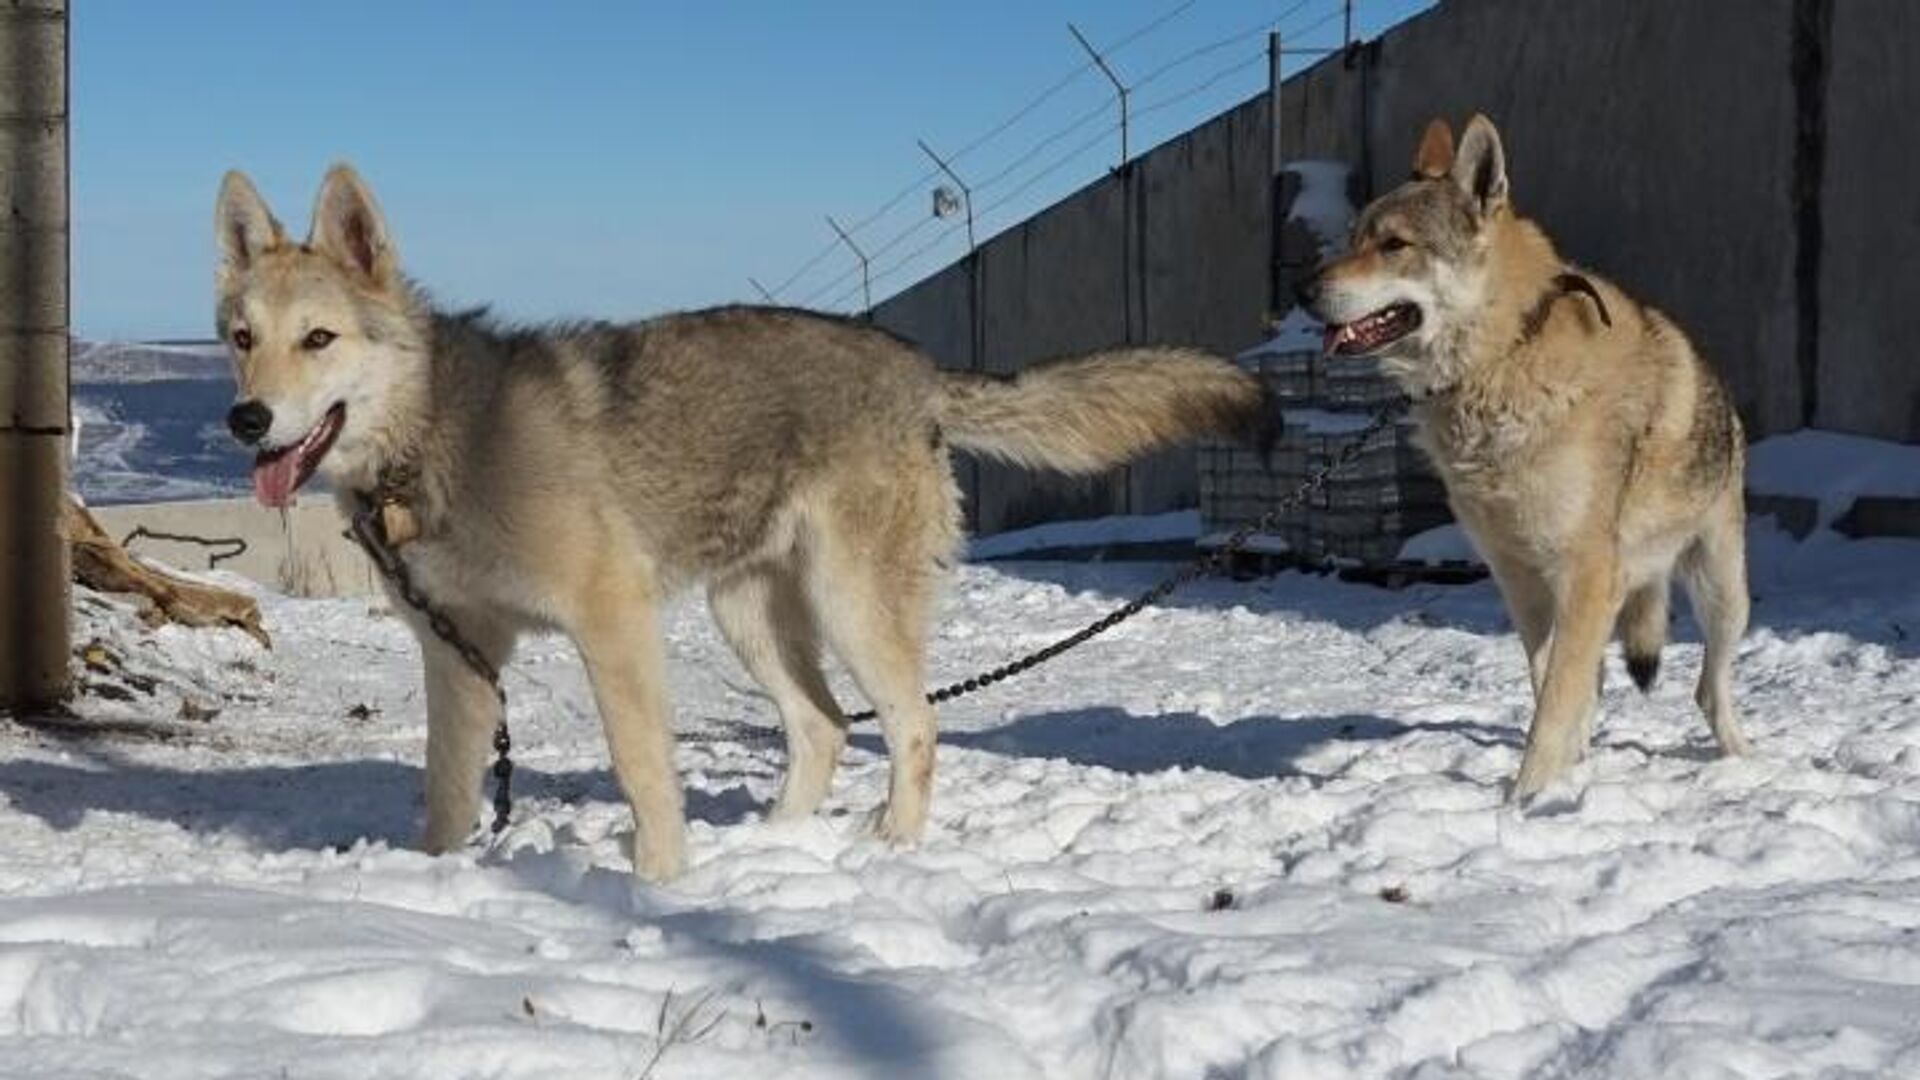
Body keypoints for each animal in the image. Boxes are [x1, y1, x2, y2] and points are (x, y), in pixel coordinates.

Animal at [214, 166, 1274, 876]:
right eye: (241, 338)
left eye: (319, 339)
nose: (246, 420)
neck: (439, 433)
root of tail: (916, 366)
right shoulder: (460, 653)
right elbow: (447, 790)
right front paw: (434, 884)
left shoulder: (611, 625)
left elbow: (644, 771)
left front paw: (660, 885)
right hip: (752, 615)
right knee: (825, 728)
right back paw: (776, 845)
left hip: (848, 605)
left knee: (913, 725)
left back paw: (889, 846)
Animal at [1297, 113, 1751, 795]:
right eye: (1353, 239)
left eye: (1394, 244)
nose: (1300, 290)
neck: (1503, 356)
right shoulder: (1520, 582)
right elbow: (1550, 693)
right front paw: (1546, 789)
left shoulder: (1584, 578)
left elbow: (1554, 710)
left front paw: (1522, 803)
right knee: (1605, 687)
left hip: (1722, 591)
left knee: (1708, 688)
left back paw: (1742, 760)